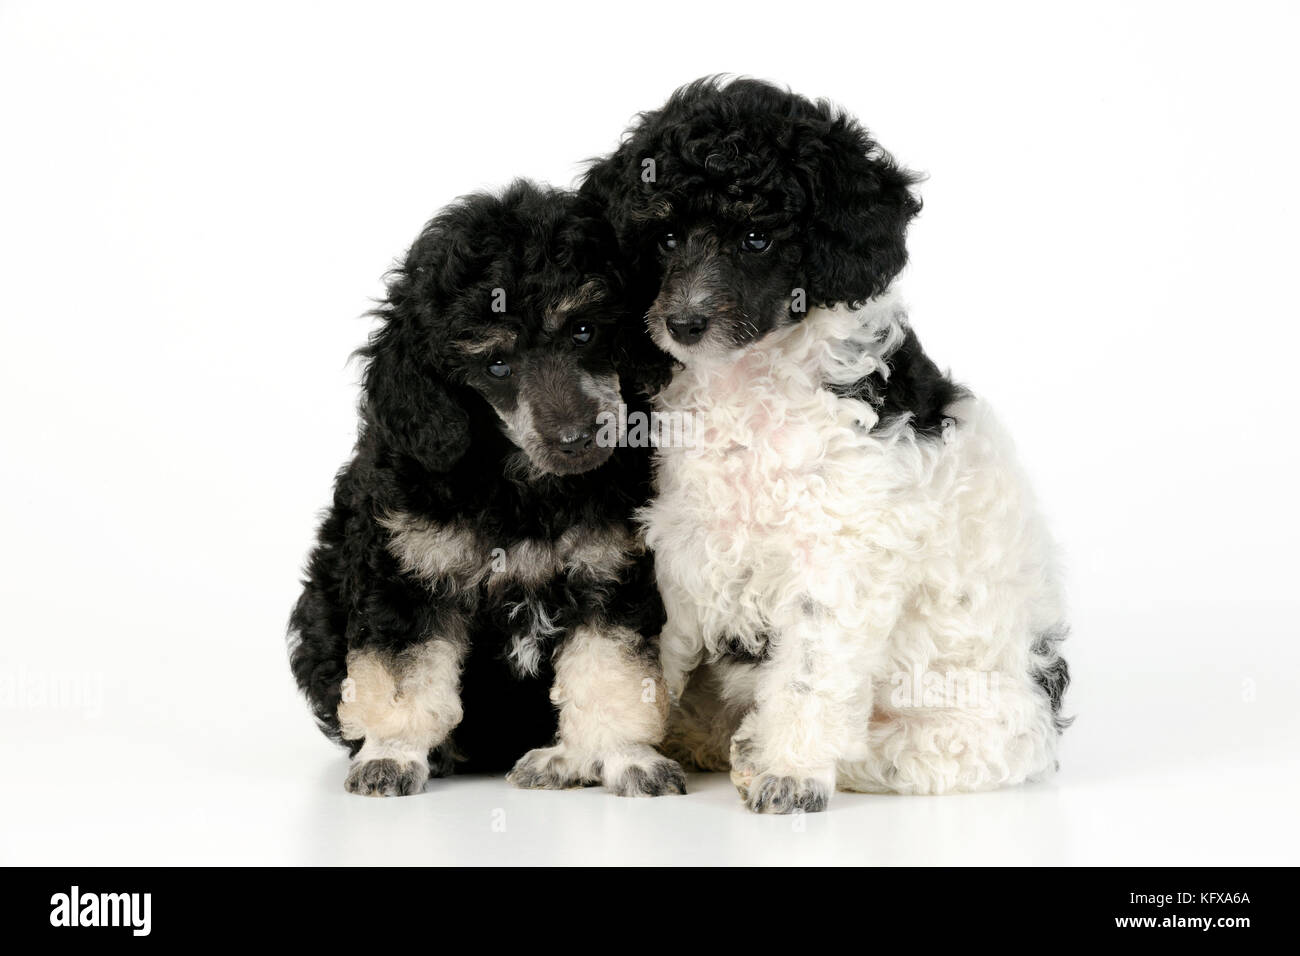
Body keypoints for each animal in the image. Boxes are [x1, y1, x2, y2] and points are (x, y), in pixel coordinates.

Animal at [289, 179, 686, 801]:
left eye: (583, 330)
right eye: (497, 365)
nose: (577, 440)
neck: (520, 485)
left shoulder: (609, 573)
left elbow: (611, 673)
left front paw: (627, 757)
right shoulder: (408, 573)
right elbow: (403, 675)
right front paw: (392, 754)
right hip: (320, 614)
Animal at [585, 76, 1071, 816]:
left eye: (757, 237)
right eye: (665, 236)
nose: (684, 324)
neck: (749, 381)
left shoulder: (837, 556)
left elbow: (810, 674)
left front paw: (788, 770)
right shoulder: (680, 544)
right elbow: (653, 654)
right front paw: (598, 752)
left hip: (973, 735)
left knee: (891, 751)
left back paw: (758, 751)